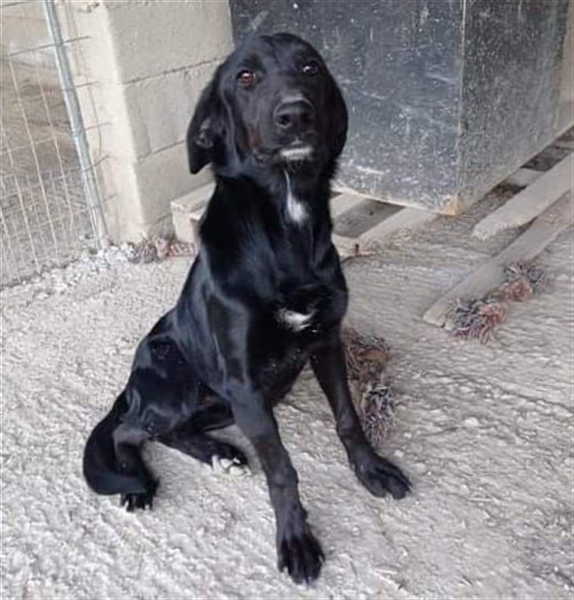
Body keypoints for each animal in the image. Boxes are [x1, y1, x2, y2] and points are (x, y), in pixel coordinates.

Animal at [83, 32, 410, 584]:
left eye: (311, 67)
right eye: (246, 77)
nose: (295, 114)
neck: (286, 220)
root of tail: (129, 388)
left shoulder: (325, 344)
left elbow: (348, 418)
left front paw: (370, 469)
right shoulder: (246, 382)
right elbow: (281, 468)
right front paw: (296, 540)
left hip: (232, 401)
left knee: (180, 431)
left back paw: (218, 453)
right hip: (181, 382)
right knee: (131, 431)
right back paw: (138, 483)